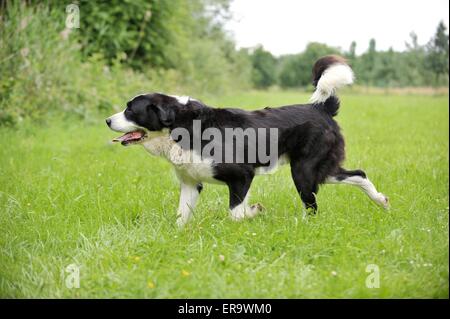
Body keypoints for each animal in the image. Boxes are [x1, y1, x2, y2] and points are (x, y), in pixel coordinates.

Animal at [107, 56, 388, 229]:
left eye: (130, 110)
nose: (108, 121)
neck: (183, 126)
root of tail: (321, 108)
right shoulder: (190, 182)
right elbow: (181, 215)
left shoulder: (241, 175)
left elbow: (236, 212)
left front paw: (254, 212)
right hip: (319, 170)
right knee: (358, 173)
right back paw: (381, 201)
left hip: (303, 171)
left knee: (313, 204)